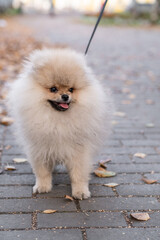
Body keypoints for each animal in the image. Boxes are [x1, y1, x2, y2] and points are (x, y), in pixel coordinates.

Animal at [8, 47, 112, 200]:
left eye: (71, 89)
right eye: (53, 89)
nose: (65, 96)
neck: (57, 121)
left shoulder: (79, 150)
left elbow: (78, 174)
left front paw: (80, 191)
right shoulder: (39, 148)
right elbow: (42, 171)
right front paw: (42, 186)